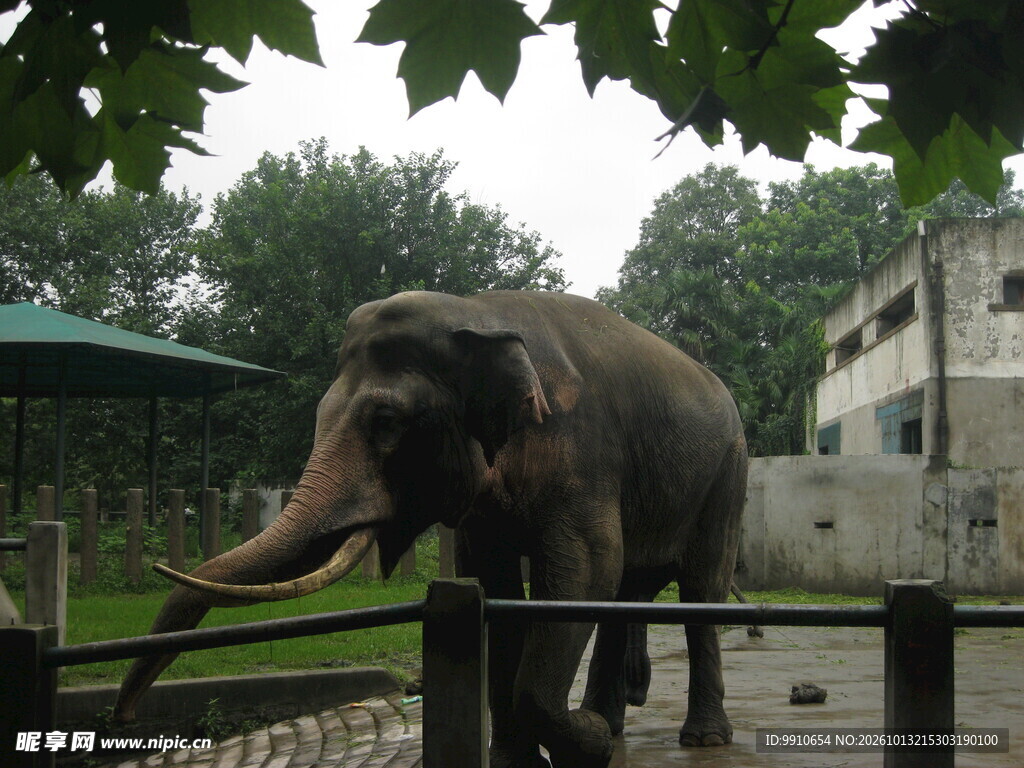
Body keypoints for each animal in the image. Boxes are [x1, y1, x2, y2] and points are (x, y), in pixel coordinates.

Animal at [114, 290, 747, 768]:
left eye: (386, 423)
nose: (125, 717)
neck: (476, 313)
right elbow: (494, 587)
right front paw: (531, 757)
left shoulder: (581, 451)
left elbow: (585, 570)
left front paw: (583, 743)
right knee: (625, 594)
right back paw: (611, 724)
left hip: (727, 475)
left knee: (700, 588)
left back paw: (702, 738)